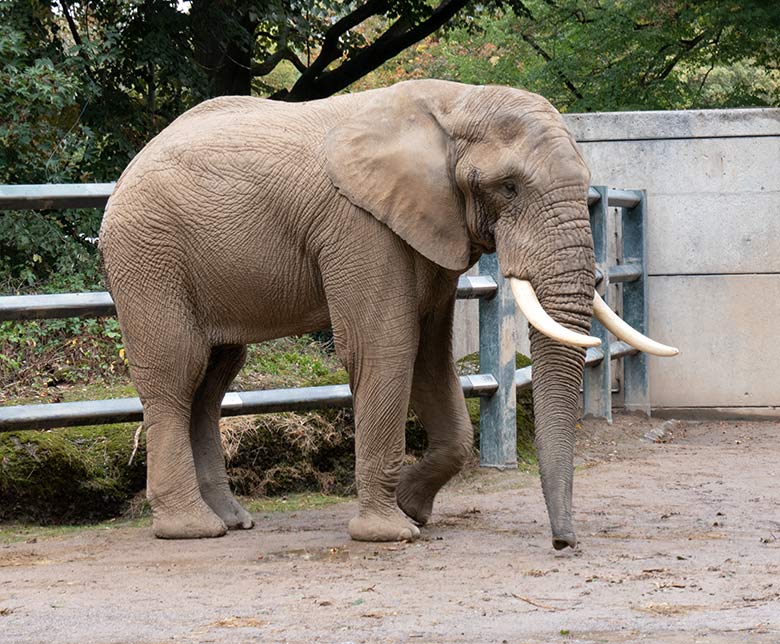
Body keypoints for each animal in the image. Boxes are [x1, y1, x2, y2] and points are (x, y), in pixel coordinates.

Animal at [97, 76, 672, 548]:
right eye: (508, 187)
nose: (563, 543)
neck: (454, 105)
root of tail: (124, 175)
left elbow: (431, 360)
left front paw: (413, 511)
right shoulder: (360, 225)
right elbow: (386, 346)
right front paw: (391, 533)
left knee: (213, 379)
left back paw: (233, 521)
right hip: (149, 254)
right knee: (178, 372)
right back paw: (191, 529)